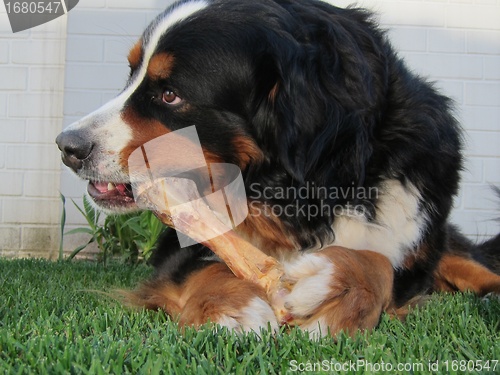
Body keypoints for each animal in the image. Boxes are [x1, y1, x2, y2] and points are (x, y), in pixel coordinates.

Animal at [55, 0, 500, 336]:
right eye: (132, 74)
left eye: (170, 95)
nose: (67, 146)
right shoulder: (178, 245)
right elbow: (208, 267)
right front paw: (231, 309)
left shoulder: (409, 245)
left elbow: (378, 262)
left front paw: (336, 288)